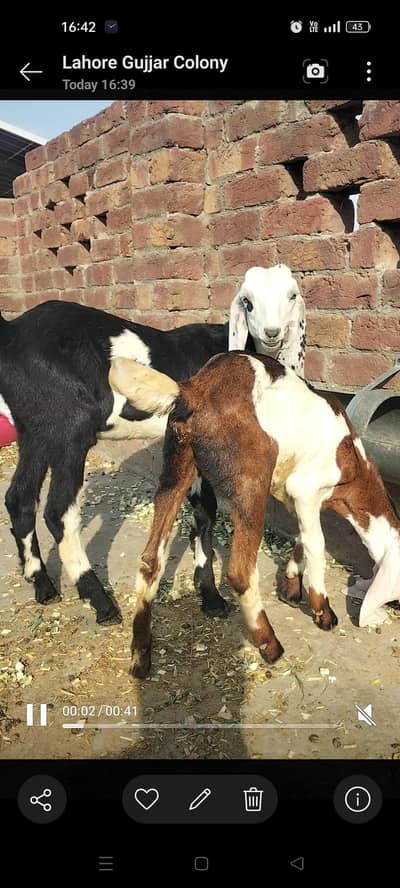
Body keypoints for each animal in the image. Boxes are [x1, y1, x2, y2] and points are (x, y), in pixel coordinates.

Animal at [0, 264, 304, 625]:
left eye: (292, 295)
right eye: (247, 301)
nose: (272, 333)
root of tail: (11, 333)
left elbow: (202, 513)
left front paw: (208, 595)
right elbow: (207, 510)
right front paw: (213, 596)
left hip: (34, 431)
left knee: (19, 499)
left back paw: (43, 586)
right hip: (69, 428)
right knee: (58, 511)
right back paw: (101, 602)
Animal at [108, 353, 400, 678]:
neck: (355, 467)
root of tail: (192, 391)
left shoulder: (294, 497)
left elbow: (301, 539)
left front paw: (291, 587)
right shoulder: (306, 489)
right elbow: (316, 545)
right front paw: (322, 611)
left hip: (177, 468)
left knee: (152, 559)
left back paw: (140, 656)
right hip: (250, 481)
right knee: (240, 571)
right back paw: (269, 644)